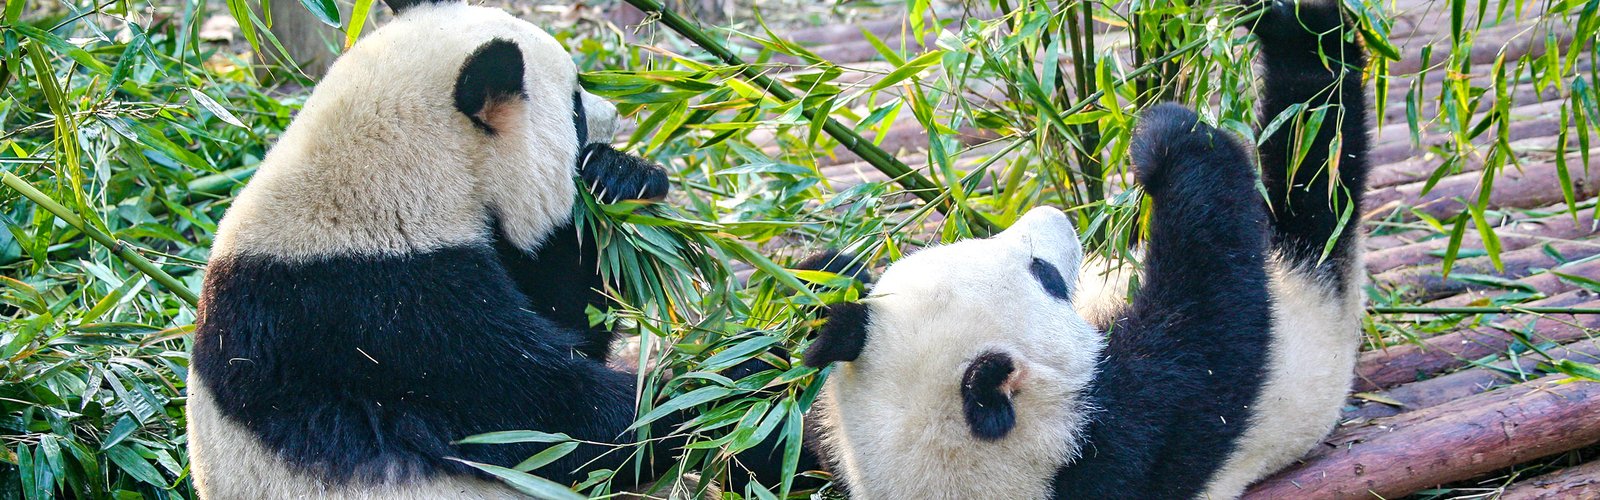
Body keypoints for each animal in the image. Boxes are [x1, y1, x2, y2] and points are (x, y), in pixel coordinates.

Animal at [186, 0, 684, 497]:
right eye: (576, 105)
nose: (617, 113)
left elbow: (572, 316)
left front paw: (619, 177)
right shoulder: (387, 322)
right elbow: (558, 420)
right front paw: (689, 400)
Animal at [798, 0, 1368, 498]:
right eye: (1045, 275)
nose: (1055, 217)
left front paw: (825, 279)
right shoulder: (1130, 444)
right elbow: (1213, 329)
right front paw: (1171, 139)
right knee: (1316, 161)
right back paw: (1310, 35)